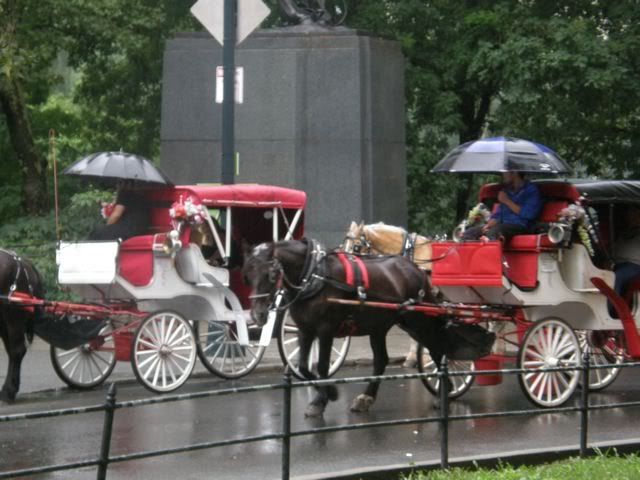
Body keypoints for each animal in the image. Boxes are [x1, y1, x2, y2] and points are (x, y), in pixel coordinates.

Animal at [0, 249, 43, 404]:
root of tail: (23, 262)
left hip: (14, 317)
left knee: (17, 351)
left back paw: (8, 392)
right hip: (4, 320)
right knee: (12, 352)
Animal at [241, 239, 450, 416]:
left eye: (271, 274)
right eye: (247, 276)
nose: (257, 315)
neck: (313, 275)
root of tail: (418, 270)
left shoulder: (325, 329)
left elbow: (322, 365)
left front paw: (323, 398)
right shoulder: (305, 329)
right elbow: (303, 367)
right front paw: (327, 393)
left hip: (420, 323)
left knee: (438, 350)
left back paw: (444, 393)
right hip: (380, 326)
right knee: (381, 360)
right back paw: (366, 398)